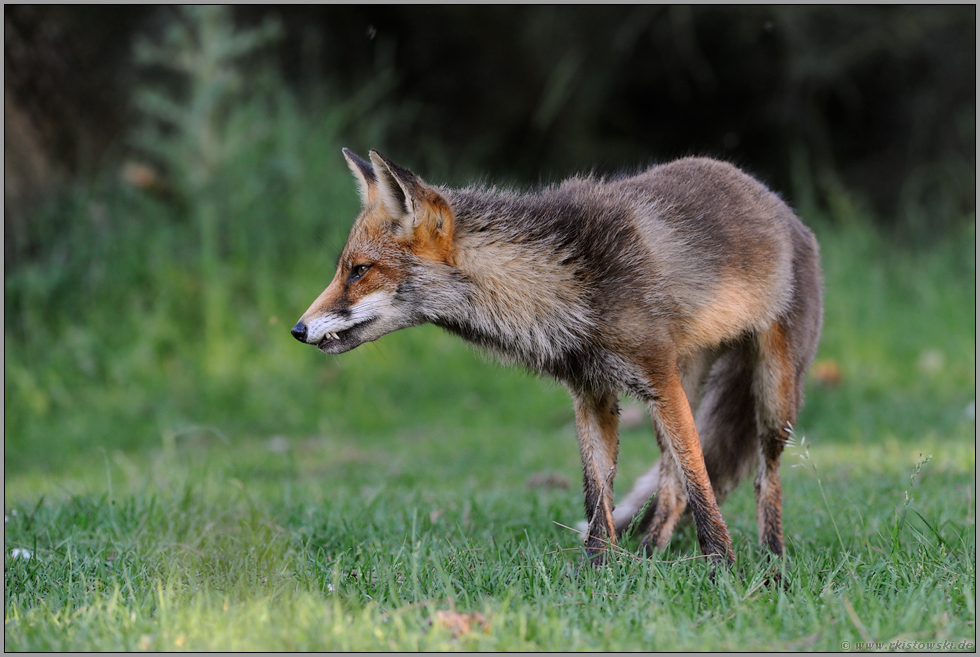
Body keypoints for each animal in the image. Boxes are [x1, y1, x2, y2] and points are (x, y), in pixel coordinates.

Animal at [290, 149, 820, 564]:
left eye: (360, 271)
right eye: (344, 269)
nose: (297, 329)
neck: (570, 281)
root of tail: (781, 204)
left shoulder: (656, 379)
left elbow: (701, 484)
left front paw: (722, 569)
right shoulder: (593, 393)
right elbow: (598, 498)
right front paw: (598, 576)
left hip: (770, 399)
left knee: (763, 478)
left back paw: (773, 562)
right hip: (683, 386)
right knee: (670, 488)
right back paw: (651, 558)